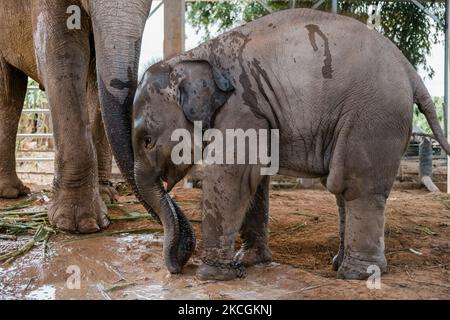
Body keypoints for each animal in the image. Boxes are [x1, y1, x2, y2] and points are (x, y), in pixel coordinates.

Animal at [0, 0, 165, 235]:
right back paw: (11, 193)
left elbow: (95, 77)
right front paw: (80, 224)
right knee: (8, 96)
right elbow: (63, 55)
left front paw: (103, 199)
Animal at [132, 8, 450, 282]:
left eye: (147, 141)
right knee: (343, 188)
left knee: (357, 184)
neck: (193, 55)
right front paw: (247, 262)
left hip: (374, 115)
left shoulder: (242, 107)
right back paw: (340, 264)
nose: (177, 265)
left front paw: (212, 276)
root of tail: (410, 71)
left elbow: (232, 175)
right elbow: (256, 177)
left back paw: (356, 274)